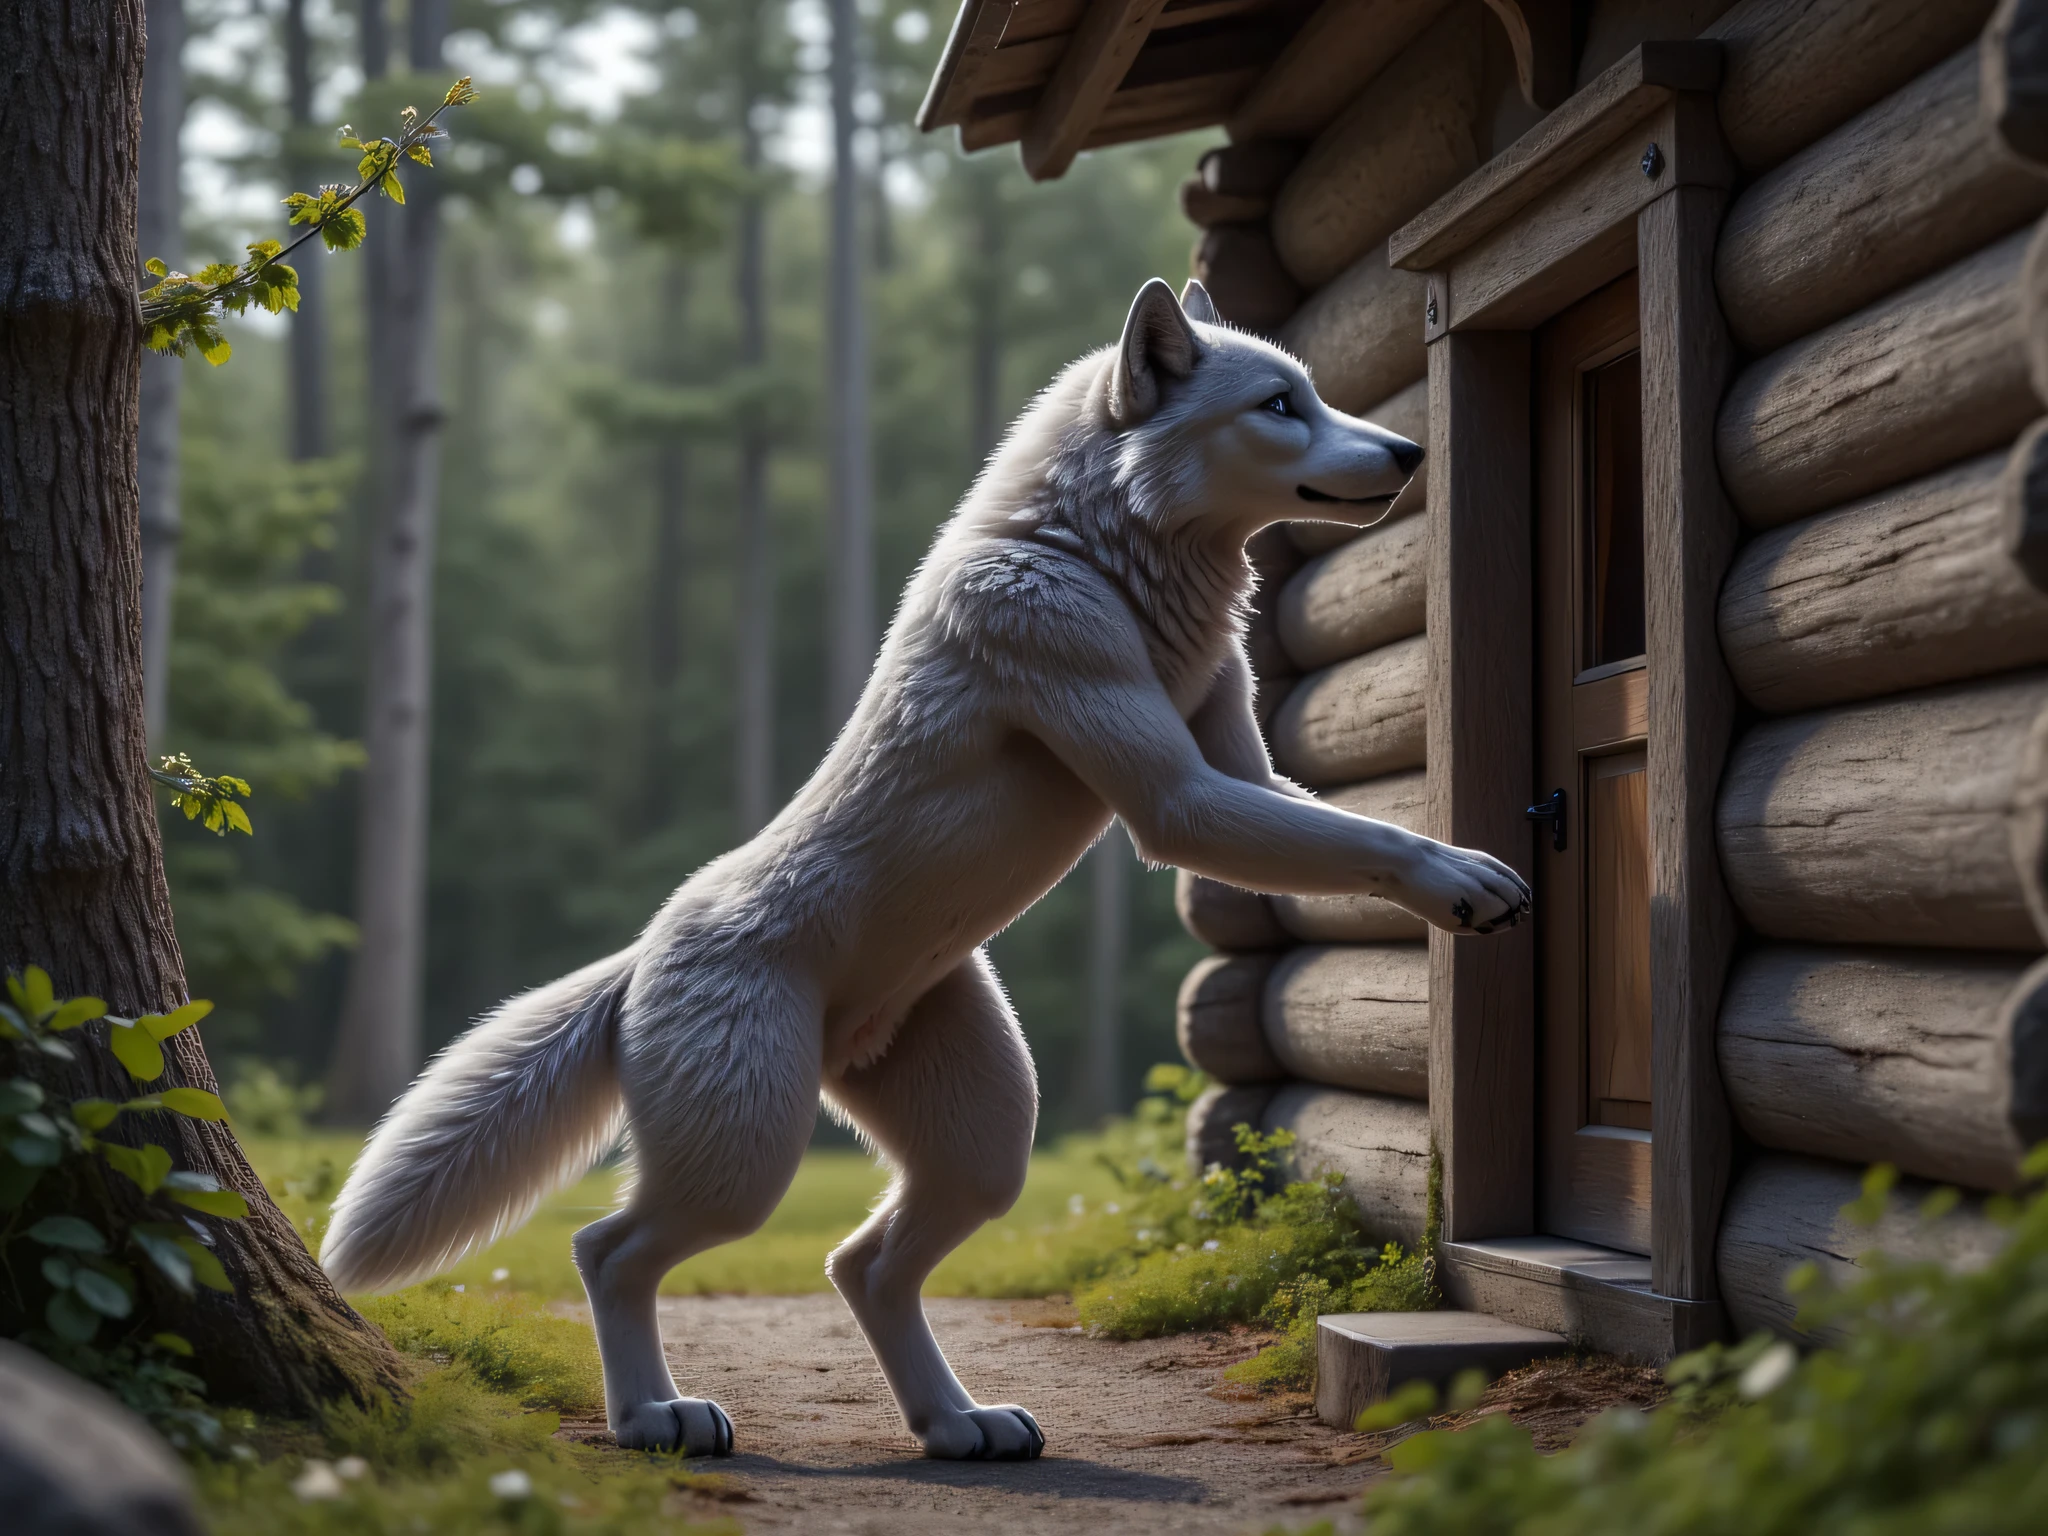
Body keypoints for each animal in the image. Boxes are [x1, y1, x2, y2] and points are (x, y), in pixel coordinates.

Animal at [320, 278, 1531, 1462]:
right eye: (1280, 406)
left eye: (1317, 394)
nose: (1407, 453)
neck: (1090, 551)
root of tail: (639, 957)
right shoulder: (1171, 794)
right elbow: (1367, 841)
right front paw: (1466, 881)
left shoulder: (1235, 762)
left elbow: (1330, 826)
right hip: (747, 1161)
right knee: (606, 1247)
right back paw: (656, 1417)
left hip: (984, 1140)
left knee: (861, 1264)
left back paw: (956, 1422)